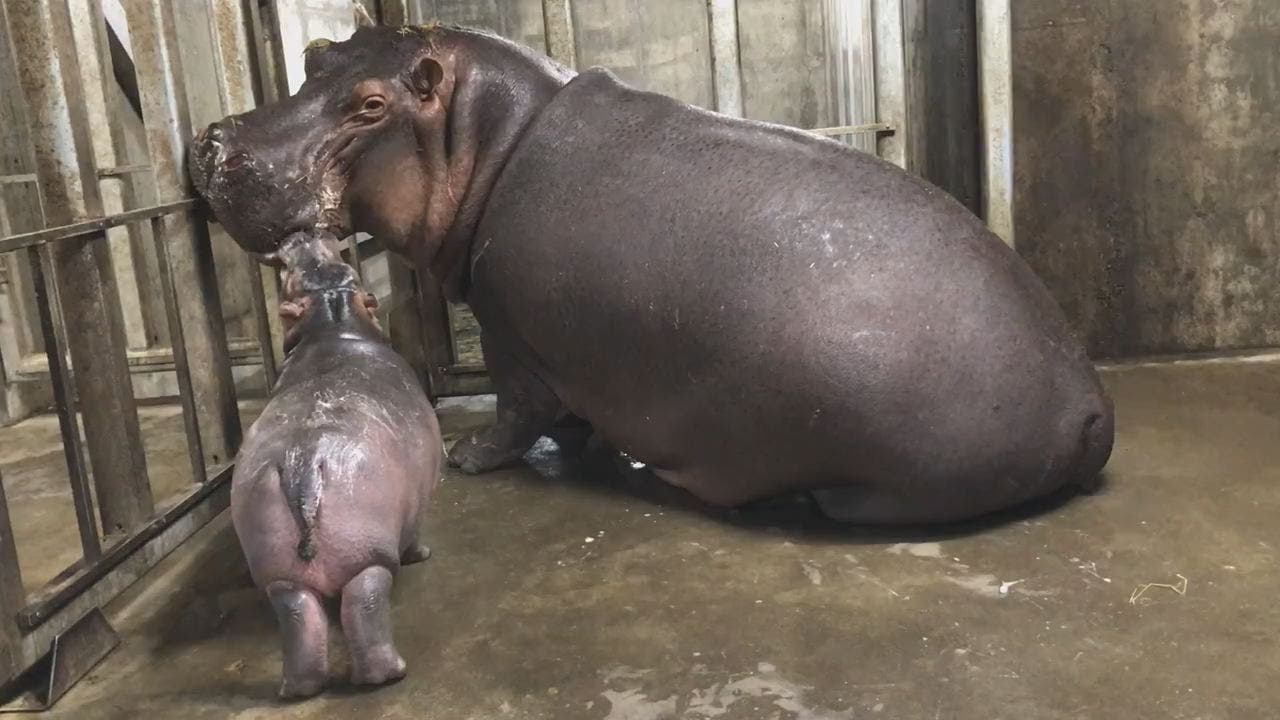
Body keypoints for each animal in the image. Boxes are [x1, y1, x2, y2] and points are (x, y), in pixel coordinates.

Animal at [192, 23, 1113, 525]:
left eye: (372, 106)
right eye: (316, 55)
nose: (212, 142)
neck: (487, 137)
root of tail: (1088, 402)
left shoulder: (510, 332)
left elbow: (518, 411)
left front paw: (467, 455)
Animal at [230, 231, 440, 698]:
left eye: (291, 276)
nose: (303, 234)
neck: (333, 323)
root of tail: (304, 462)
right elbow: (417, 529)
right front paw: (423, 553)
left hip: (280, 572)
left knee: (296, 614)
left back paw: (297, 688)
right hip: (368, 553)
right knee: (366, 599)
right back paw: (388, 674)